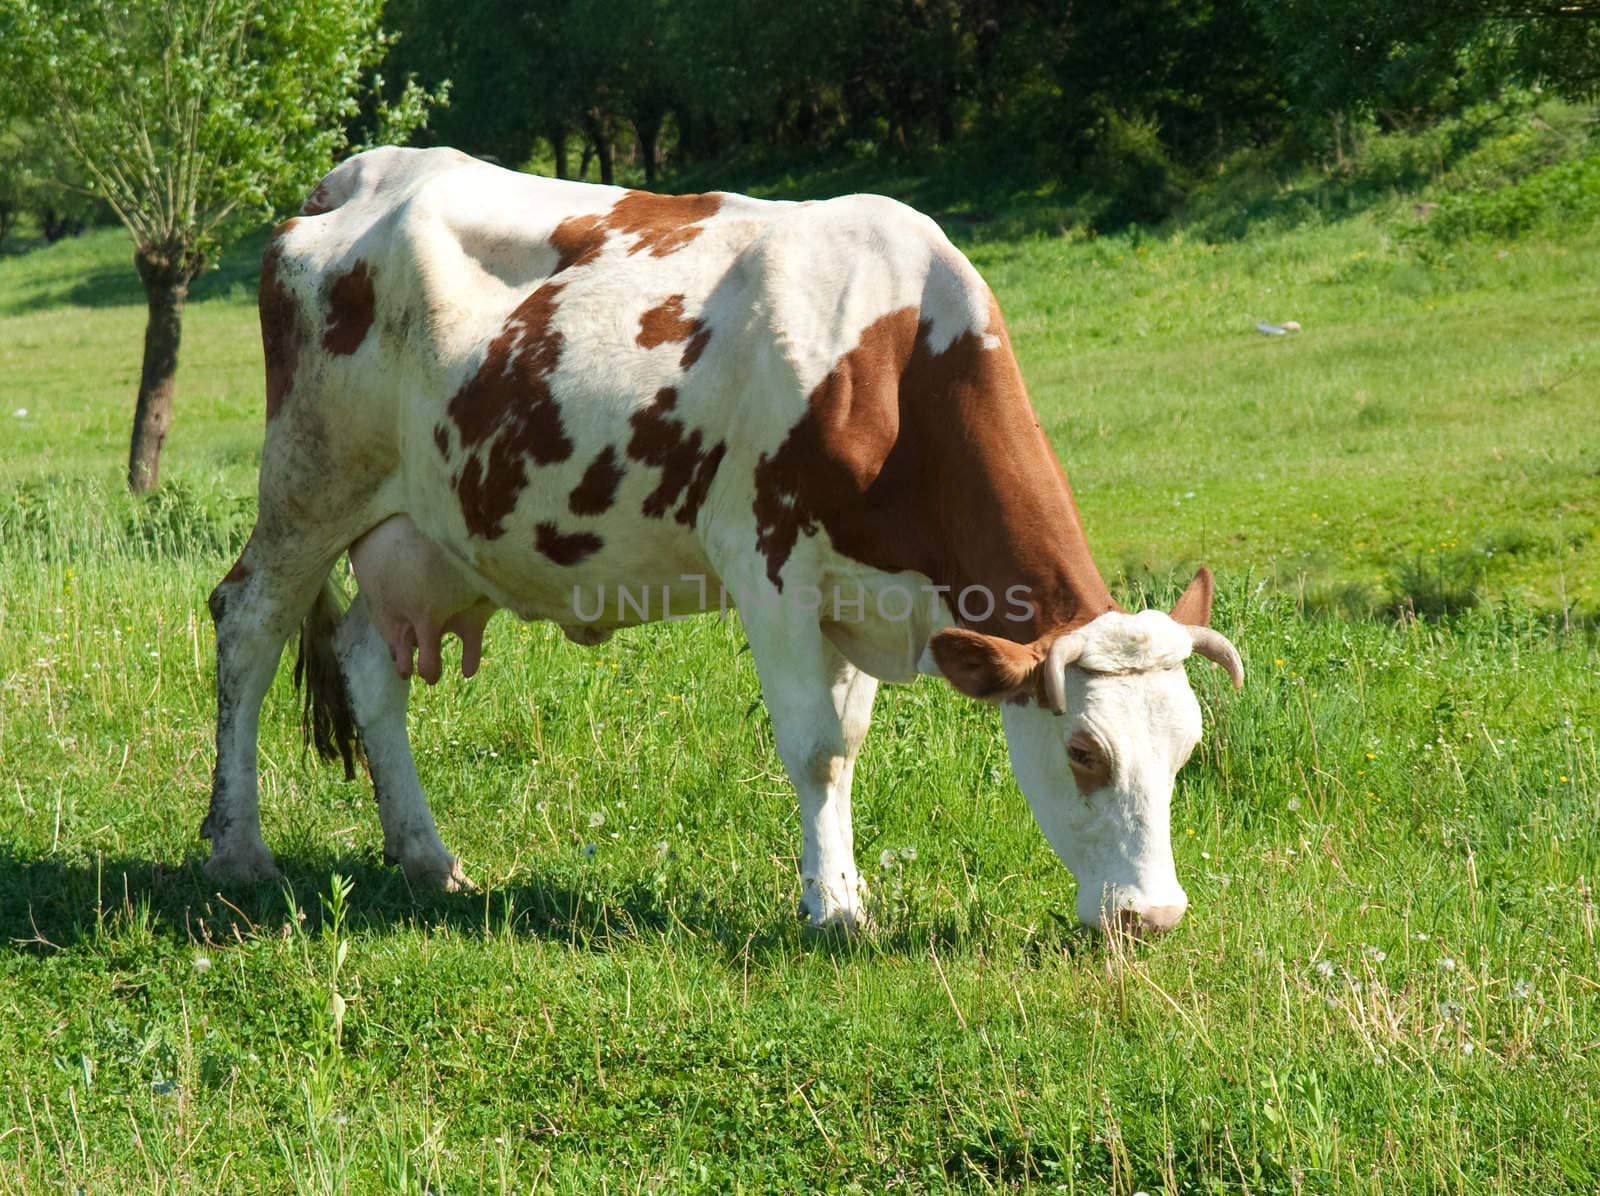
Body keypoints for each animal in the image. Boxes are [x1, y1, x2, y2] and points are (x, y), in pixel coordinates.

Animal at [203, 147, 1248, 933]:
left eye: (1188, 751)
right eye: (1084, 753)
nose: (1153, 918)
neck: (891, 352)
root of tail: (354, 177)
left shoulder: (858, 589)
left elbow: (848, 742)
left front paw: (846, 886)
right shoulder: (768, 560)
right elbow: (815, 746)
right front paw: (832, 912)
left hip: (419, 535)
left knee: (366, 664)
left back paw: (426, 856)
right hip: (311, 479)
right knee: (248, 622)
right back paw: (238, 845)